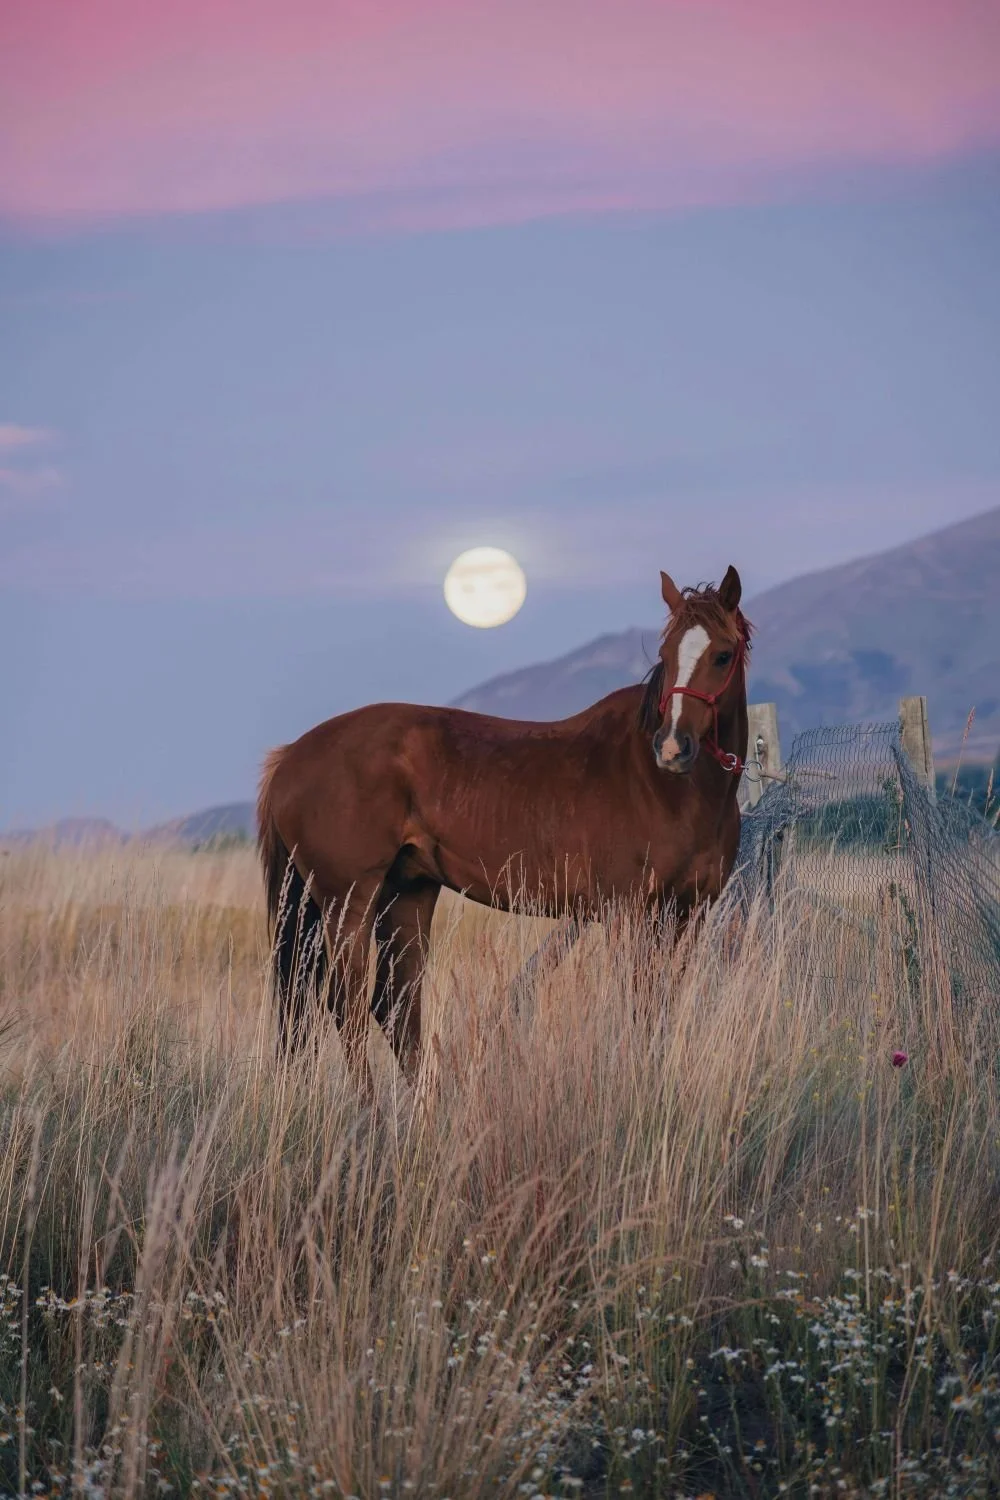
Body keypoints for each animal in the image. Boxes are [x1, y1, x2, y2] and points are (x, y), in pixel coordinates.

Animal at [257, 564, 752, 1093]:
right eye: (665, 655)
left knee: (392, 1006)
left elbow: (663, 1004)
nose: (672, 747)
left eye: (722, 655)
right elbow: (638, 1004)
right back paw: (370, 1107)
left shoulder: (689, 914)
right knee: (342, 1004)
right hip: (347, 901)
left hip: (406, 892)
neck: (667, 789)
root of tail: (291, 755)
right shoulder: (631, 915)